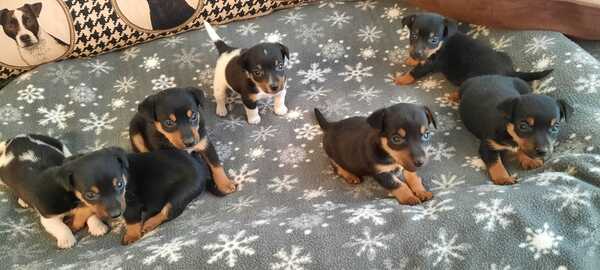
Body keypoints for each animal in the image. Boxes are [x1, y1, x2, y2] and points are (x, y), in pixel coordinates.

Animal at [394, 12, 552, 97]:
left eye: (434, 40)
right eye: (414, 35)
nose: (415, 54)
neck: (442, 42)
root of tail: (510, 72)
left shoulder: (431, 63)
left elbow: (415, 71)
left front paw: (401, 79)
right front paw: (411, 60)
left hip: (474, 77)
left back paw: (454, 96)